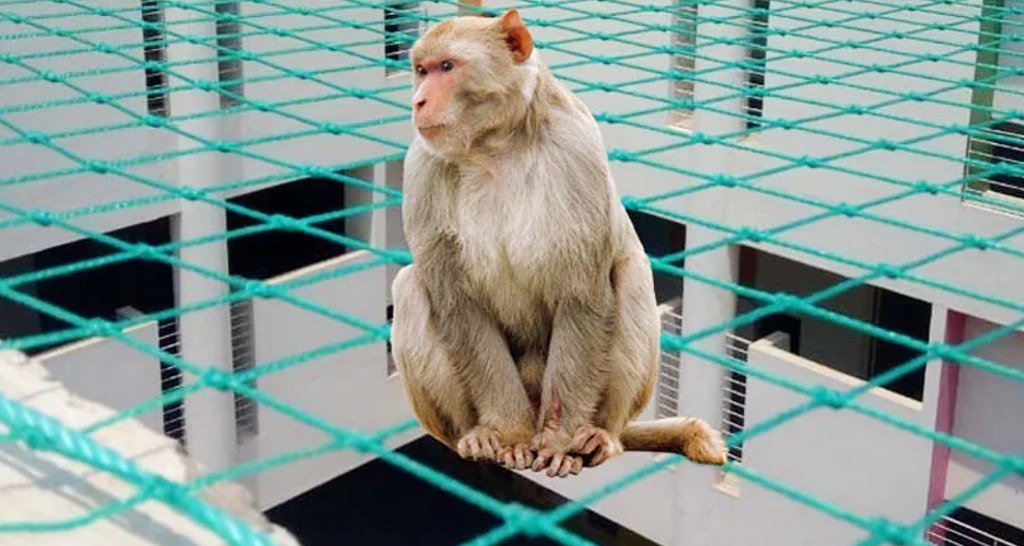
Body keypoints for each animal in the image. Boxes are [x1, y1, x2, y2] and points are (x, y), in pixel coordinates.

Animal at [390, 9, 728, 478]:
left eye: (446, 67)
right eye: (421, 71)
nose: (418, 101)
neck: (495, 147)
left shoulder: (576, 150)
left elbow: (582, 294)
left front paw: (559, 441)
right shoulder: (421, 168)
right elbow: (458, 303)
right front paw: (509, 434)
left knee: (630, 275)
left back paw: (600, 438)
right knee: (410, 286)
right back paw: (474, 436)